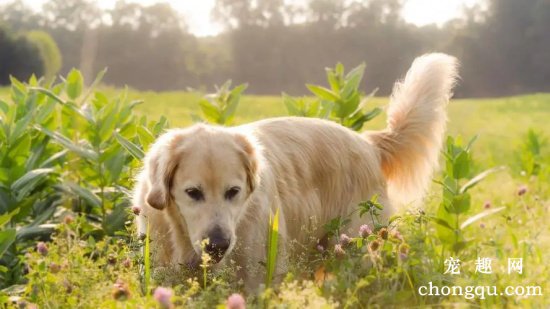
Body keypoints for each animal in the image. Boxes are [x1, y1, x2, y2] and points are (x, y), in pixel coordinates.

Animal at [134, 52, 462, 288]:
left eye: (233, 192)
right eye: (192, 192)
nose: (218, 245)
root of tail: (367, 142)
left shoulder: (257, 276)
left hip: (358, 246)